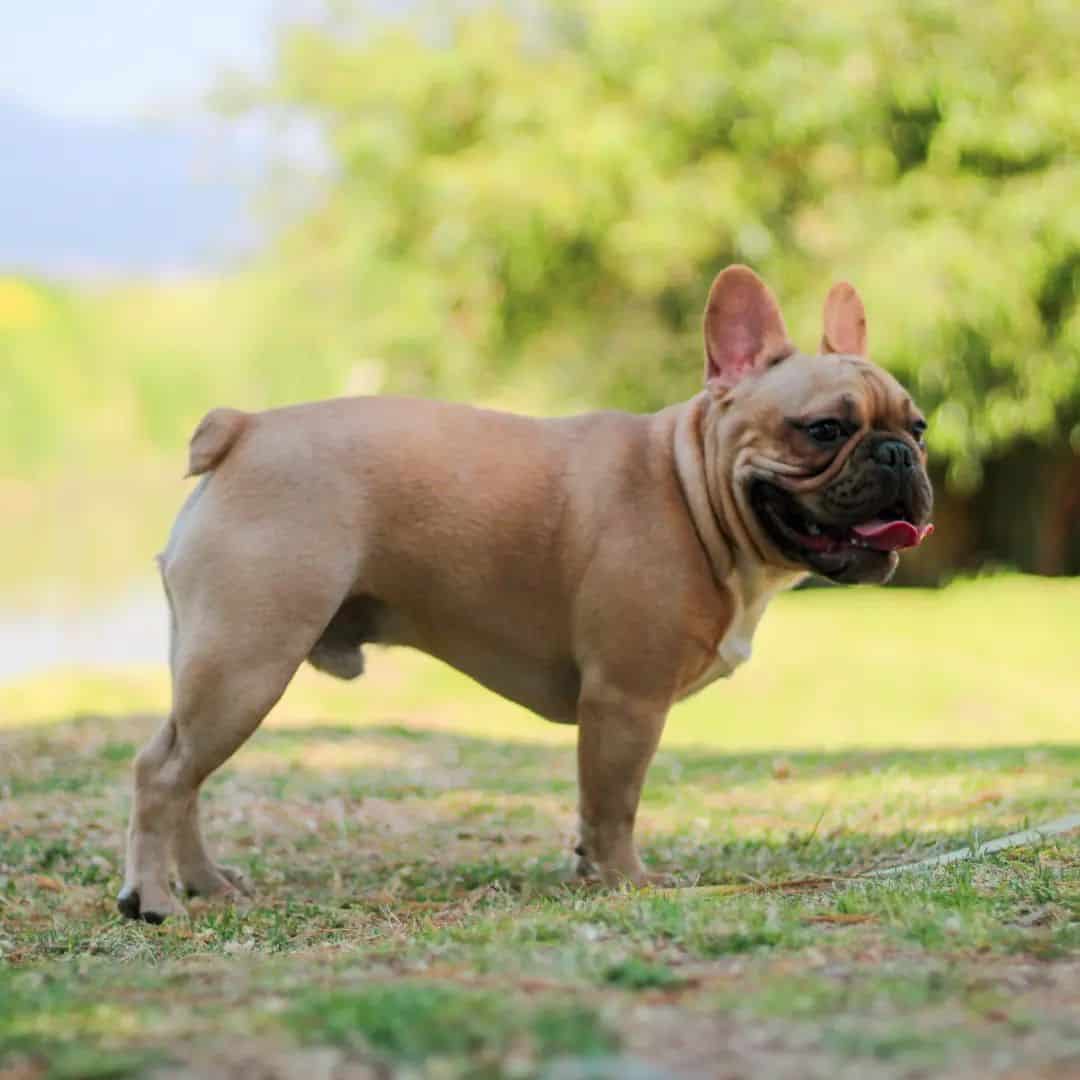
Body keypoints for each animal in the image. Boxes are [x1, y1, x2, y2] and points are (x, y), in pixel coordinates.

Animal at [116, 263, 928, 920]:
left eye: (917, 425)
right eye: (823, 430)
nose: (899, 455)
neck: (690, 484)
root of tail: (245, 430)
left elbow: (595, 807)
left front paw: (592, 871)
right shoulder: (625, 699)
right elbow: (615, 801)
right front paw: (627, 881)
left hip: (215, 665)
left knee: (184, 771)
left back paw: (208, 885)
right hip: (248, 661)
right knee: (163, 774)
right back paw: (154, 900)